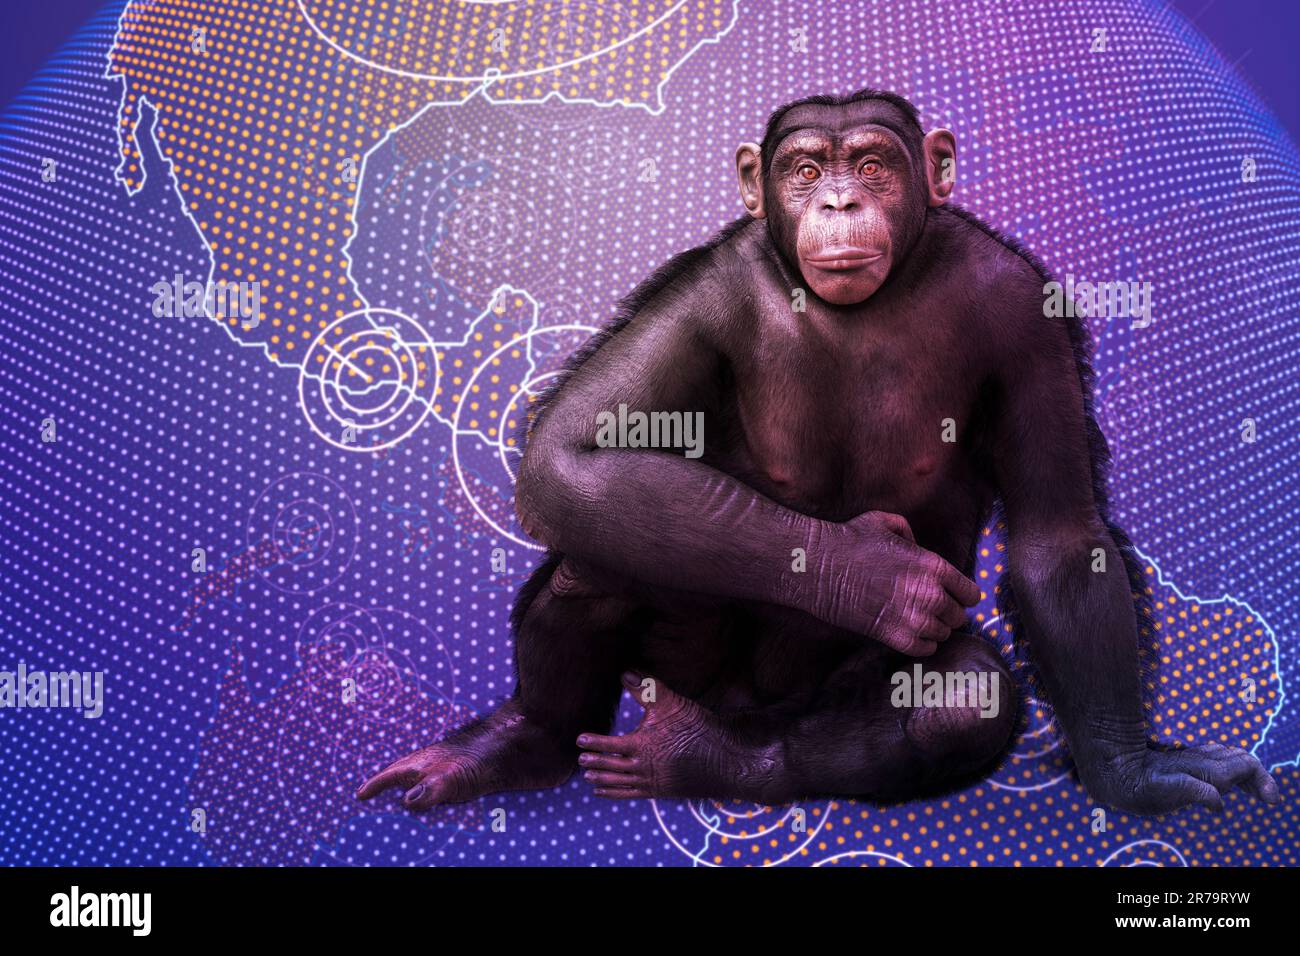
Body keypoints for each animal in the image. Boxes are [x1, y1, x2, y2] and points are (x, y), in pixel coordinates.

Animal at [358, 88, 1280, 815]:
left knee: (960, 693)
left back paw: (708, 761)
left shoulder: (1025, 308)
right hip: (683, 662)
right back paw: (522, 743)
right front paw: (874, 574)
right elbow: (573, 454)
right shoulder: (702, 292)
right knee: (597, 550)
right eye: (803, 170)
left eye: (871, 163)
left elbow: (1058, 539)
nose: (837, 201)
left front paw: (1129, 773)